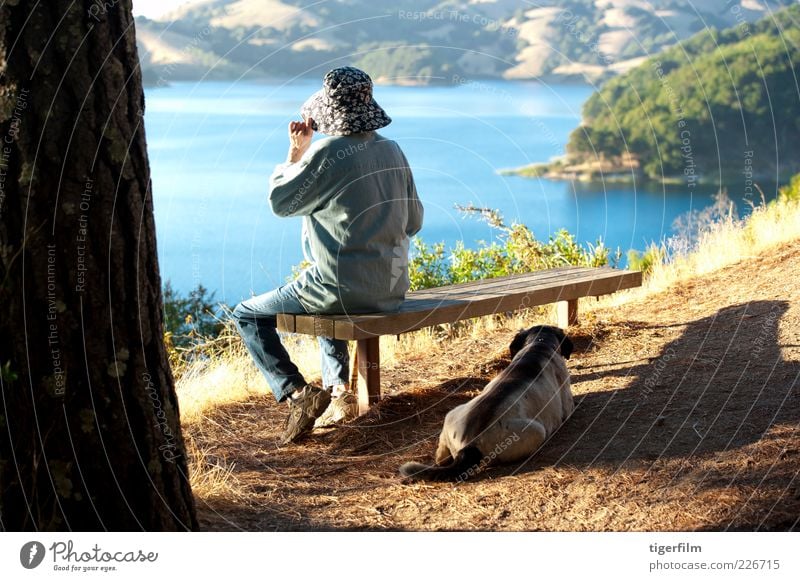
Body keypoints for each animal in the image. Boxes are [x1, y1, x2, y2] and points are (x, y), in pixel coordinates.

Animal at [400, 324, 576, 482]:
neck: (538, 345)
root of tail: (470, 444)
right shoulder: (568, 406)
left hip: (451, 415)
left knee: (441, 458)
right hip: (537, 431)